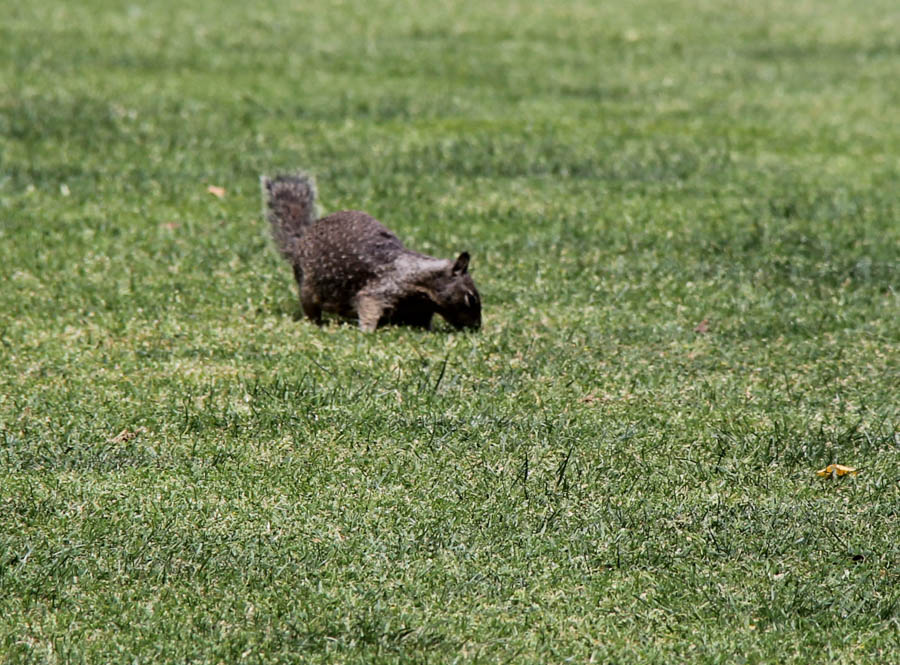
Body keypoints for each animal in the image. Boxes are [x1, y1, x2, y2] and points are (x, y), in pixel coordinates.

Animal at [262, 172, 482, 332]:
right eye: (471, 298)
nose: (477, 328)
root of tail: (300, 240)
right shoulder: (378, 291)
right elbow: (368, 306)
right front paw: (367, 331)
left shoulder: (420, 309)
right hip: (308, 289)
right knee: (310, 310)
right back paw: (318, 324)